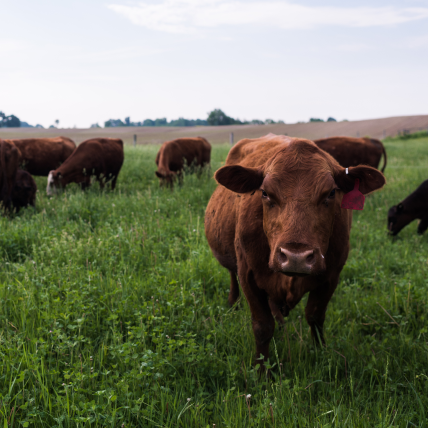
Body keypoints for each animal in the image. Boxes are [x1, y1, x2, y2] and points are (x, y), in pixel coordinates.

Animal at [204, 135, 384, 366]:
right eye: (265, 193)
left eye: (331, 193)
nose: (296, 257)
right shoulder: (248, 276)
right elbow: (262, 327)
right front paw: (262, 368)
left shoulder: (331, 277)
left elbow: (315, 318)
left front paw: (321, 354)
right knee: (232, 277)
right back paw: (233, 303)